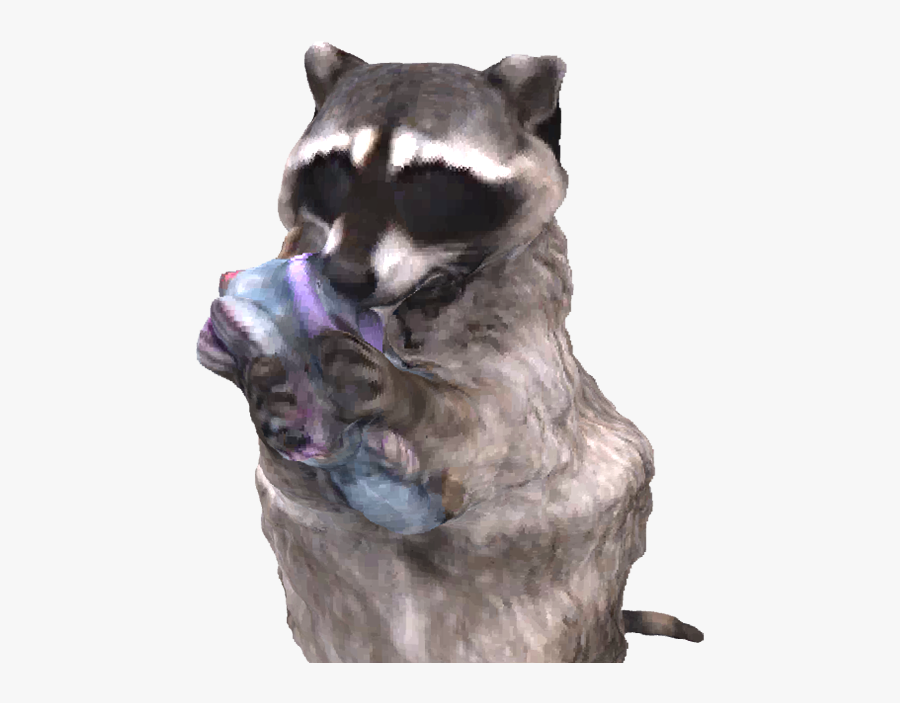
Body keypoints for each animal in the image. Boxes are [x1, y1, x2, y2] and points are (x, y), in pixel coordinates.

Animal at [214, 43, 703, 662]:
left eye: (428, 183)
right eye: (334, 171)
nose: (343, 275)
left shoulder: (530, 313)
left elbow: (505, 428)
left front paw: (405, 395)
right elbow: (298, 478)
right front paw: (270, 387)